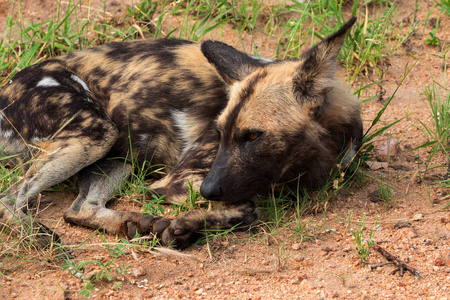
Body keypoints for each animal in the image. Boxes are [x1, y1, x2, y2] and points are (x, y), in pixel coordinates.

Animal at [0, 16, 360, 247]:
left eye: (253, 136)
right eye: (221, 131)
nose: (209, 191)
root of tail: (6, 90)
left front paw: (185, 226)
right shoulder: (175, 181)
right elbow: (249, 209)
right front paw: (187, 227)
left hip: (117, 156)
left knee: (78, 209)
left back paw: (133, 223)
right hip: (93, 137)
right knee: (10, 198)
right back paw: (37, 236)